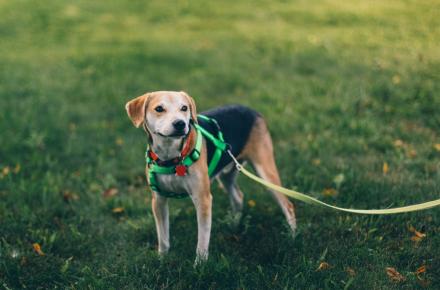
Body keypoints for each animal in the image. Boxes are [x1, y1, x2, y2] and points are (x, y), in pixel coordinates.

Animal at [124, 91, 296, 266]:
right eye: (159, 108)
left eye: (184, 108)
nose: (180, 124)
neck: (171, 157)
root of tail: (251, 110)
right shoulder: (158, 200)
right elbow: (163, 236)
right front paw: (162, 259)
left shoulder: (203, 199)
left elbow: (202, 239)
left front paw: (200, 265)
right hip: (227, 174)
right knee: (238, 196)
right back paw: (233, 224)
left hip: (265, 171)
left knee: (288, 205)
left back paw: (292, 236)